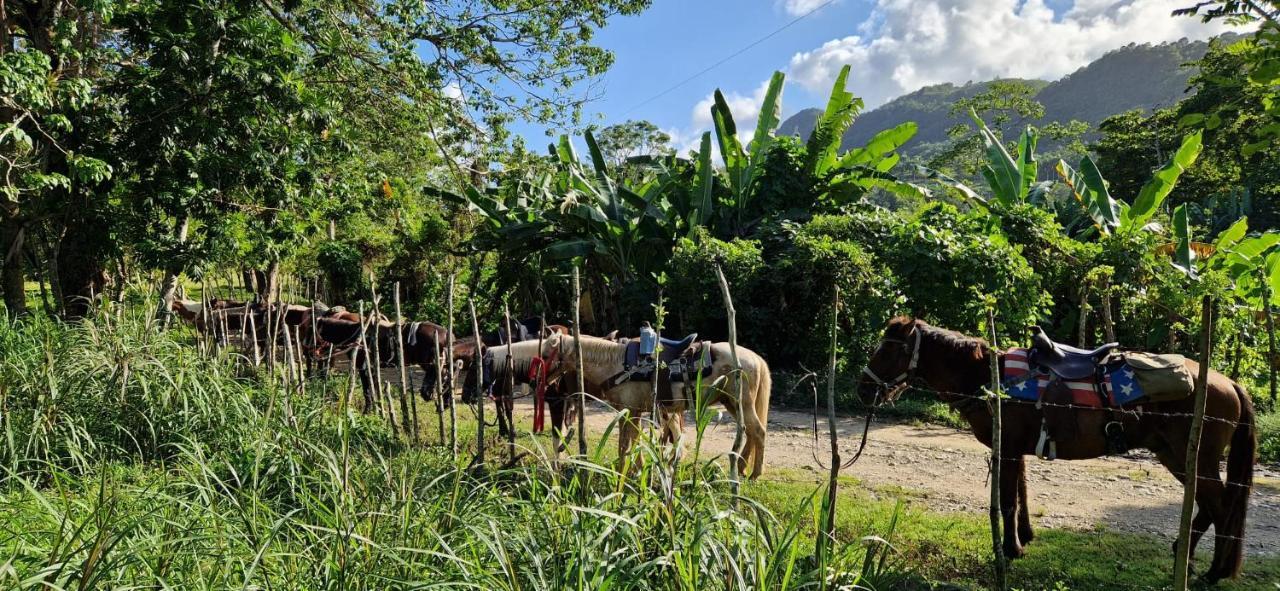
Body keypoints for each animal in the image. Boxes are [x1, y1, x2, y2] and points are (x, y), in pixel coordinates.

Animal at [540, 332, 768, 480]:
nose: (540, 381)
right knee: (748, 431)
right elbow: (633, 441)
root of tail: (755, 358)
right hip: (731, 404)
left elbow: (626, 444)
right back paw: (742, 467)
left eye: (545, 355)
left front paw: (623, 474)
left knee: (758, 431)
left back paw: (754, 473)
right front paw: (635, 470)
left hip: (741, 403)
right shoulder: (631, 411)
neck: (617, 364)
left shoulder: (630, 411)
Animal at [855, 315, 1254, 583]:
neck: (990, 378)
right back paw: (1183, 556)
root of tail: (1230, 382)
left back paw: (1213, 572)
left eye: (888, 350)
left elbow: (1008, 499)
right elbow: (1021, 493)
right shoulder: (1017, 448)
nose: (863, 389)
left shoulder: (1008, 447)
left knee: (1222, 509)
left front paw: (1010, 550)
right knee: (1209, 507)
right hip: (1176, 456)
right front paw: (1025, 538)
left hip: (1194, 457)